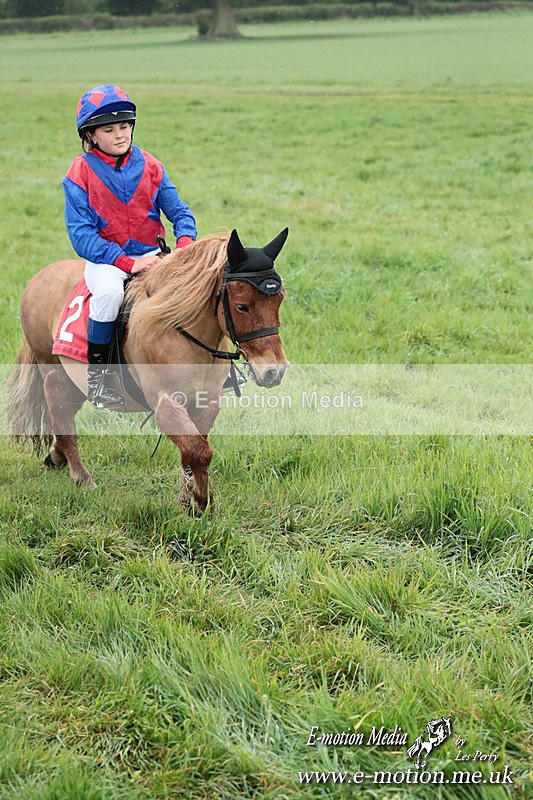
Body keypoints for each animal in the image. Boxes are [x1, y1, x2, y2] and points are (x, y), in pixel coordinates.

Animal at [7, 228, 288, 514]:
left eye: (279, 299)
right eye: (242, 306)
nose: (273, 371)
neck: (179, 330)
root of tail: (40, 277)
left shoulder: (207, 402)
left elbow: (193, 450)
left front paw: (188, 498)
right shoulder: (166, 402)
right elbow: (199, 450)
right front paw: (201, 502)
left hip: (74, 380)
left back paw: (57, 457)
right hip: (54, 371)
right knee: (60, 416)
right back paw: (82, 478)